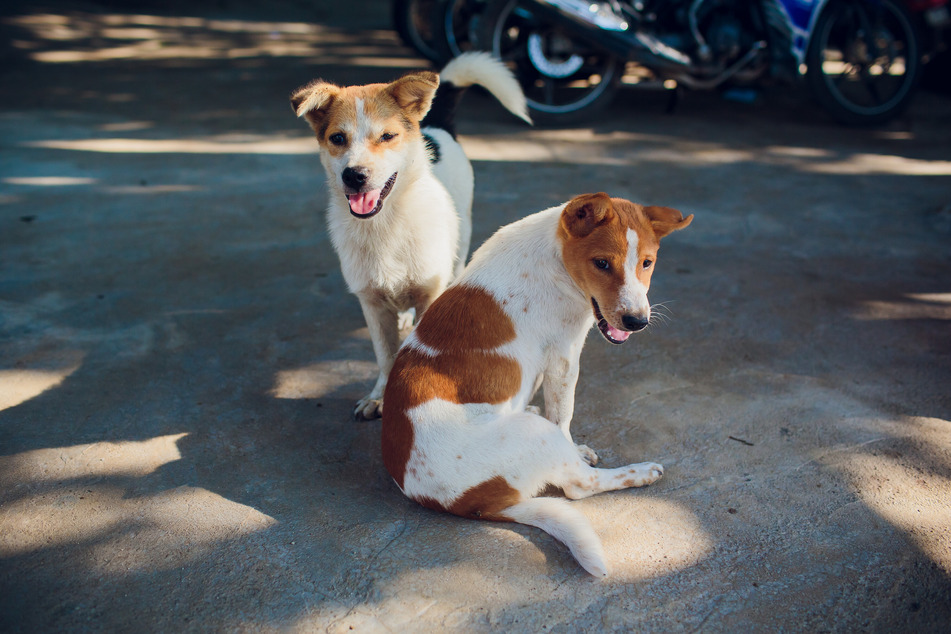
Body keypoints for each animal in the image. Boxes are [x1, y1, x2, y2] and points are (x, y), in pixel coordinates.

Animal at [290, 53, 532, 420]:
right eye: (337, 138)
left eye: (387, 136)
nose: (354, 176)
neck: (386, 223)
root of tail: (434, 127)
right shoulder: (371, 304)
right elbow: (385, 356)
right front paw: (379, 396)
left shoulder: (429, 294)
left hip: (461, 239)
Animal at [384, 191, 696, 572]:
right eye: (602, 263)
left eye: (647, 263)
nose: (637, 321)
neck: (554, 259)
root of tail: (465, 505)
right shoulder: (564, 356)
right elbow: (563, 416)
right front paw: (577, 446)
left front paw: (575, 446)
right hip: (536, 435)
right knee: (579, 485)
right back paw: (640, 472)